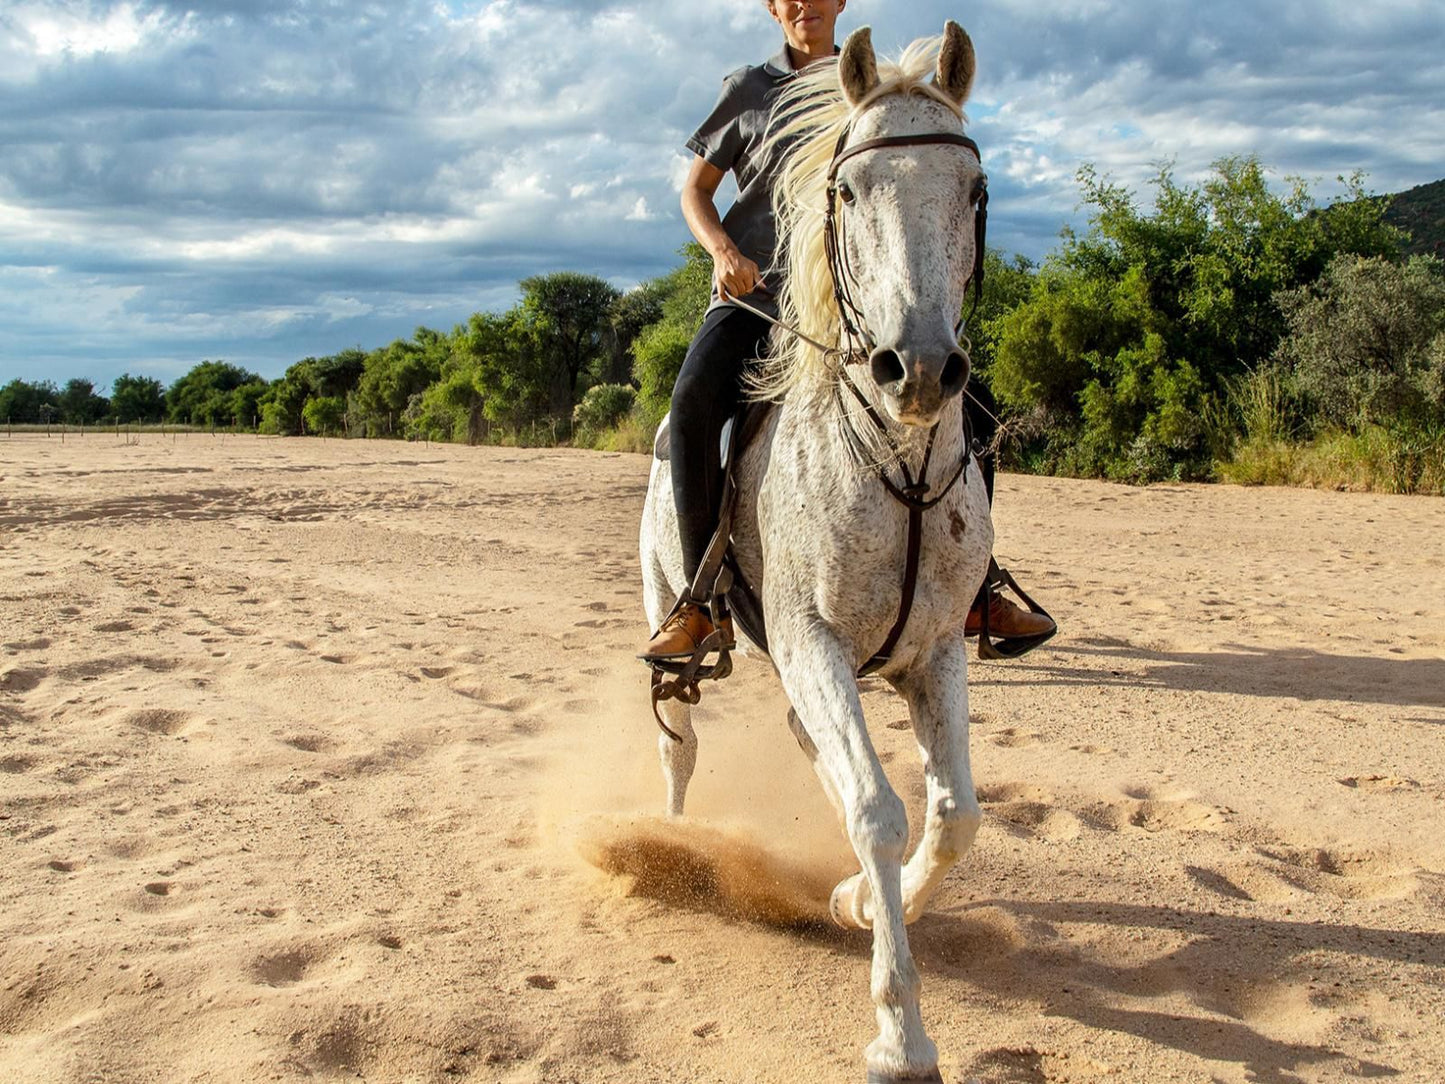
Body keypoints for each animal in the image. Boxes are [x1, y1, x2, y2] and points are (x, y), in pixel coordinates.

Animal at [641, 25, 994, 1084]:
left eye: (971, 189)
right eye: (847, 190)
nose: (917, 371)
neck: (893, 462)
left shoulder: (935, 651)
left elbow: (951, 815)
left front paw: (856, 900)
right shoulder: (810, 640)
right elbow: (878, 810)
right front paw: (901, 1035)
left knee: (813, 750)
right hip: (672, 619)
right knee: (678, 744)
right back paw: (670, 842)